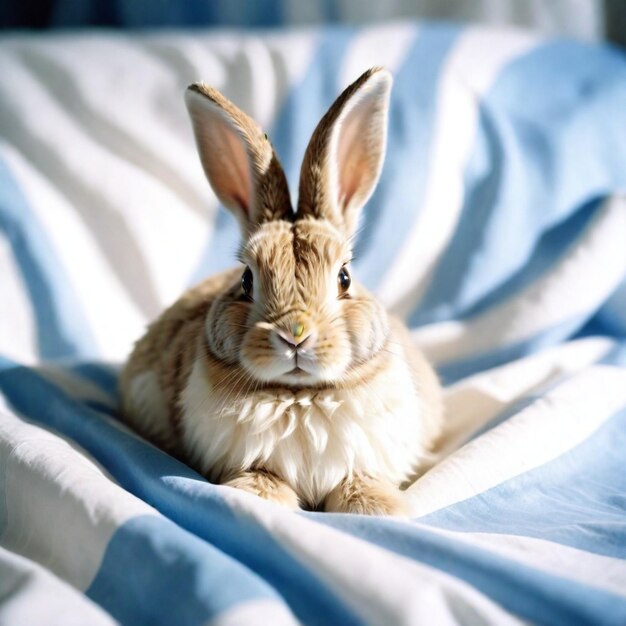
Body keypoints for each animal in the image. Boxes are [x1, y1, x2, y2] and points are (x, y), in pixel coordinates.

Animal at [119, 67, 442, 512]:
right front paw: (259, 499)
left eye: (344, 277)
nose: (295, 335)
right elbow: (262, 477)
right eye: (246, 280)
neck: (299, 395)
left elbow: (360, 478)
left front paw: (377, 506)